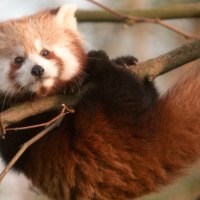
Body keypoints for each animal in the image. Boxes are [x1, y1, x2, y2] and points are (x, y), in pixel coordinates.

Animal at [0, 3, 199, 200]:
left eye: (45, 52)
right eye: (18, 60)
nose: (37, 70)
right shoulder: (12, 125)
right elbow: (21, 135)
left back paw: (121, 62)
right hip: (112, 121)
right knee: (124, 89)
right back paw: (102, 65)